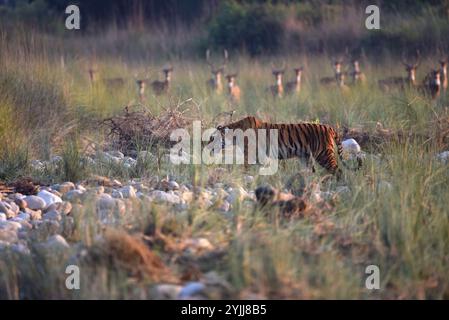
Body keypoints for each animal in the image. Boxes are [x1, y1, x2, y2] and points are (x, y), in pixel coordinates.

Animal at [212, 115, 362, 178]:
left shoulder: (250, 155)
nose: (209, 147)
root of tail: (330, 128)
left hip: (324, 155)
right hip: (306, 157)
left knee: (338, 171)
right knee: (312, 171)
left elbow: (246, 168)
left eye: (212, 138)